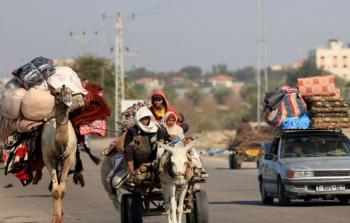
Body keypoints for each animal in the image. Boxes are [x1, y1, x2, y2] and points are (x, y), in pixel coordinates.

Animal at [41, 86, 77, 223]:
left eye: (70, 92)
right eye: (56, 93)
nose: (64, 89)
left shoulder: (69, 158)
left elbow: (62, 190)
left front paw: (60, 217)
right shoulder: (47, 158)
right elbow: (55, 190)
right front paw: (56, 219)